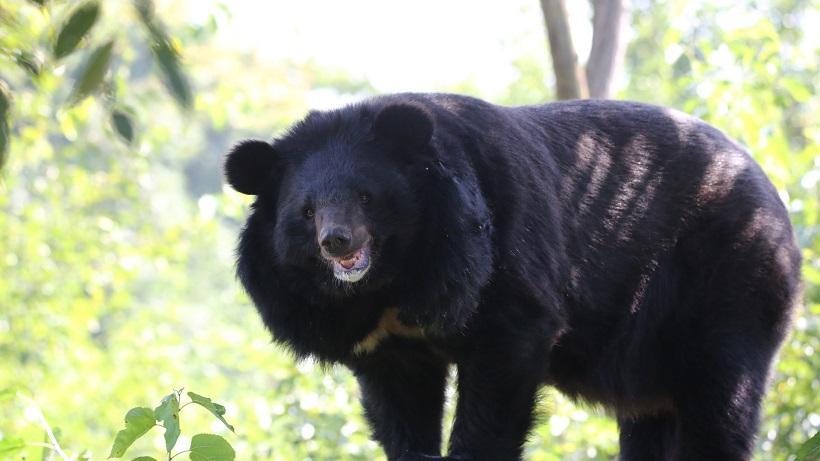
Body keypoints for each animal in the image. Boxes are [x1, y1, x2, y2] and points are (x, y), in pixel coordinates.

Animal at [224, 93, 801, 461]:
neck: (393, 281)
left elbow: (506, 354)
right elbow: (400, 397)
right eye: (306, 211)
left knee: (720, 398)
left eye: (366, 196)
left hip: (728, 275)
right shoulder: (382, 337)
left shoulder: (502, 253)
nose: (337, 242)